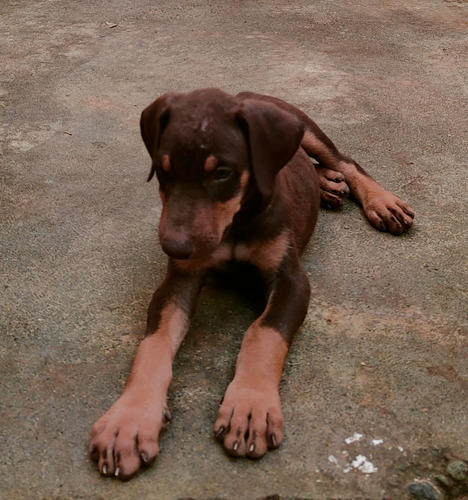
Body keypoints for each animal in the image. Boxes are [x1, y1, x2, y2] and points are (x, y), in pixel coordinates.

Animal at [88, 88, 414, 478]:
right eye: (164, 172)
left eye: (223, 173)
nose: (174, 247)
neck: (236, 224)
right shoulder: (178, 280)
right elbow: (153, 344)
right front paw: (129, 422)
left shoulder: (291, 280)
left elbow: (263, 334)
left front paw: (249, 407)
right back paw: (327, 185)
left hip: (307, 129)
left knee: (344, 160)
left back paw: (380, 201)